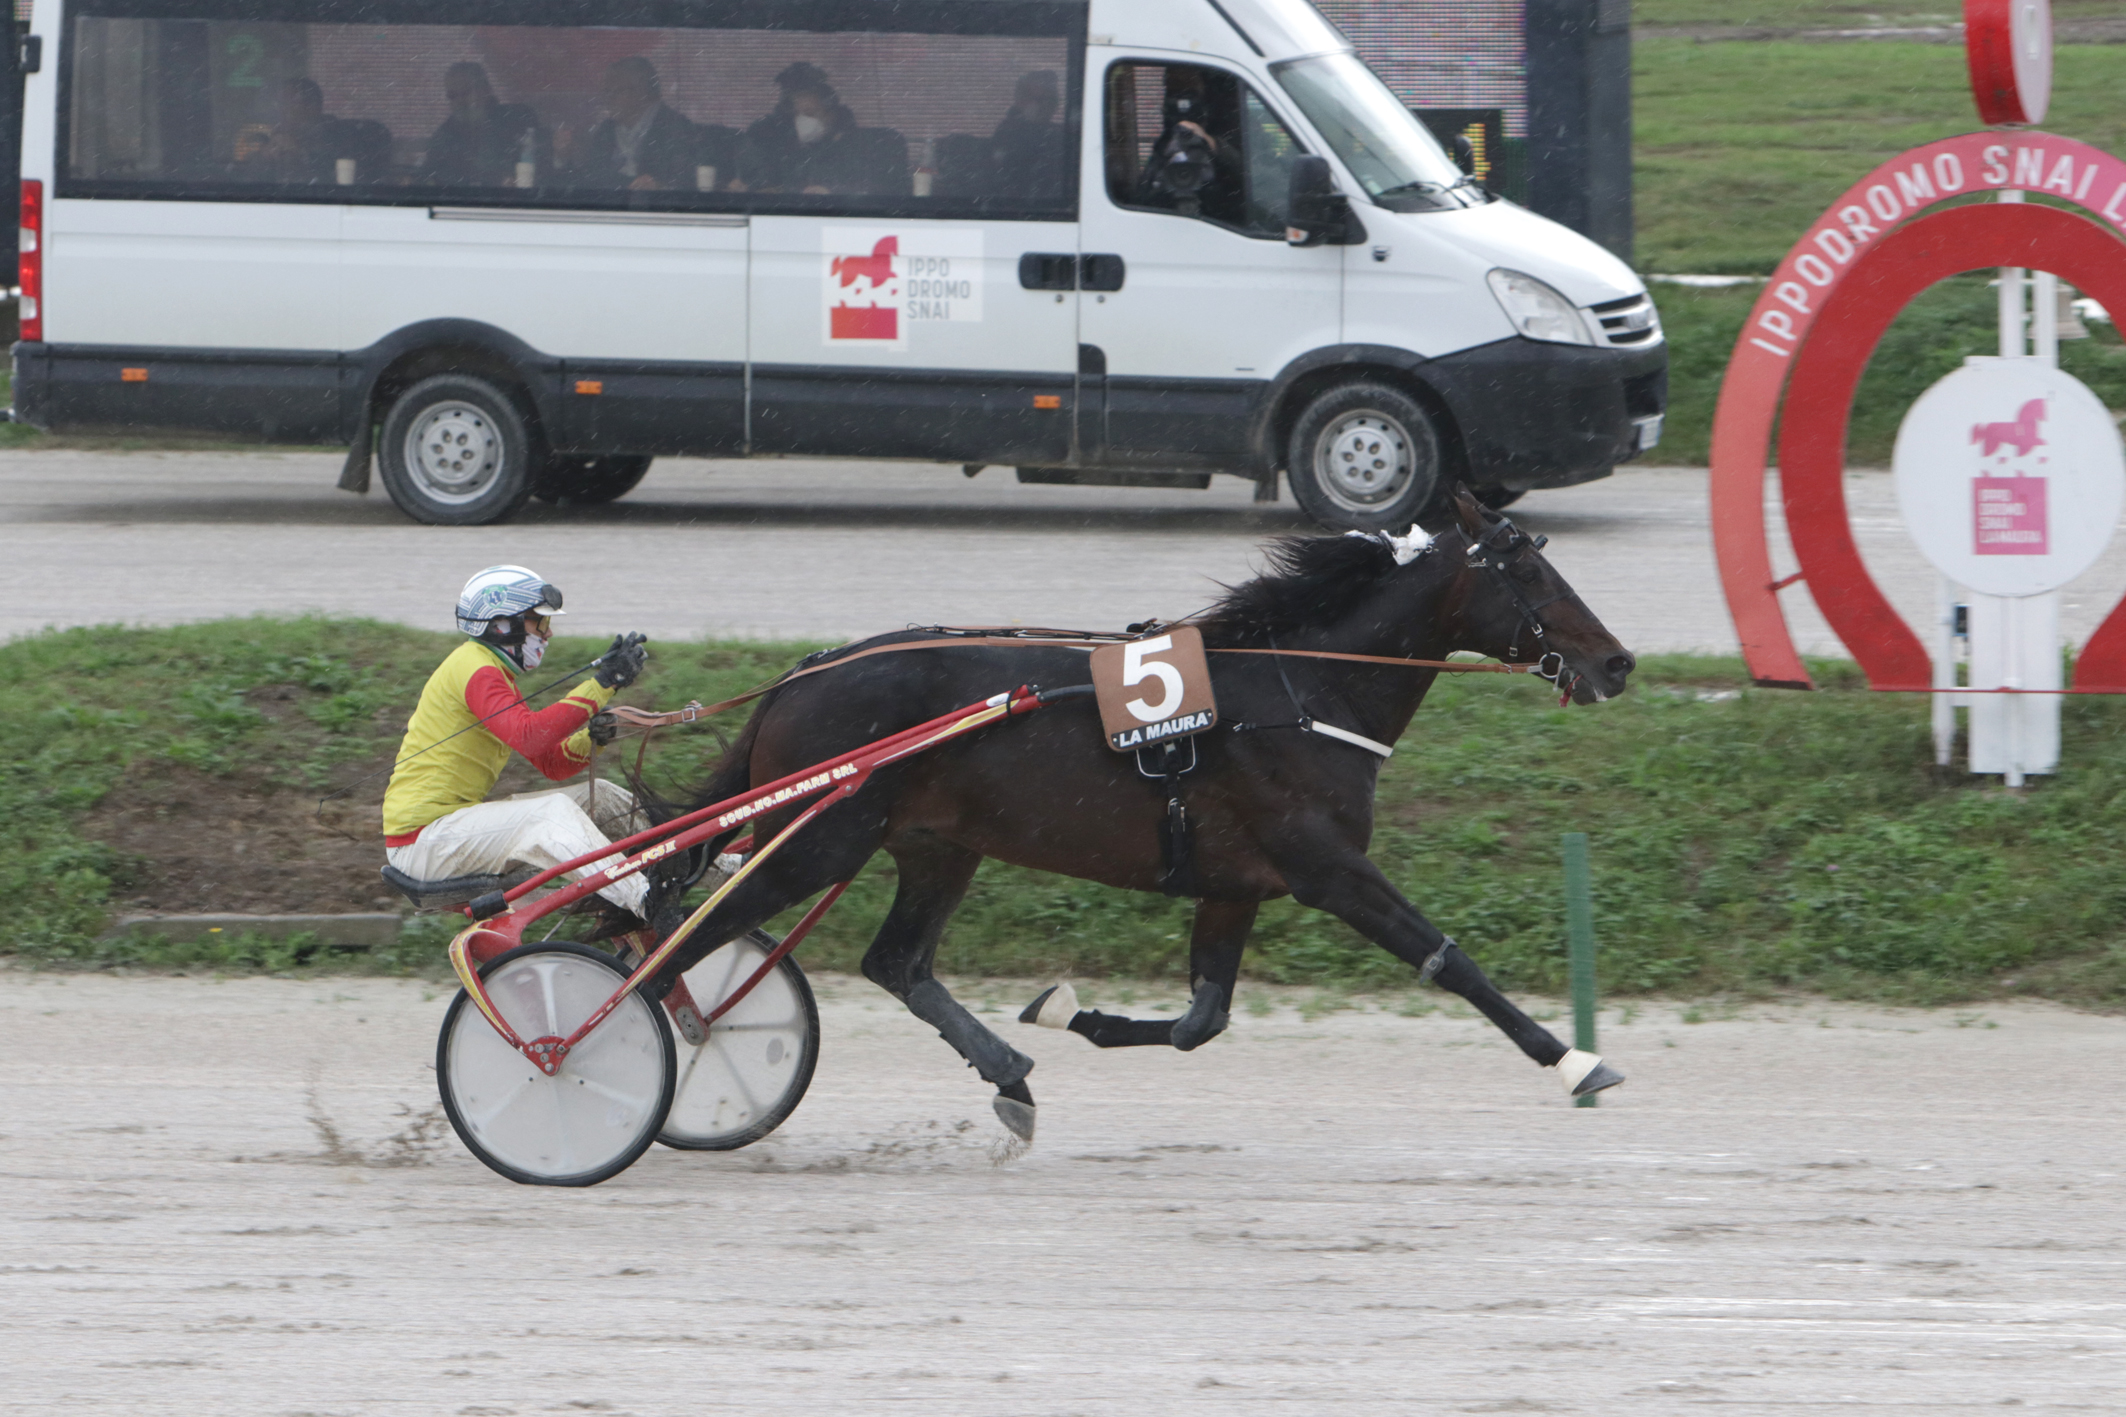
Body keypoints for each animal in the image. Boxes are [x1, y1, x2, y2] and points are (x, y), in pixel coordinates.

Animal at [654, 490, 1632, 1138]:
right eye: (1529, 567)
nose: (1617, 662)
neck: (1300, 691)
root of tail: (800, 675)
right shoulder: (1326, 867)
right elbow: (1448, 958)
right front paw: (1577, 1060)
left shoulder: (1236, 883)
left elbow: (1204, 1018)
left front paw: (1068, 1013)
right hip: (818, 842)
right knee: (678, 945)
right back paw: (665, 1044)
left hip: (938, 845)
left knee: (896, 960)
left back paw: (1009, 1074)